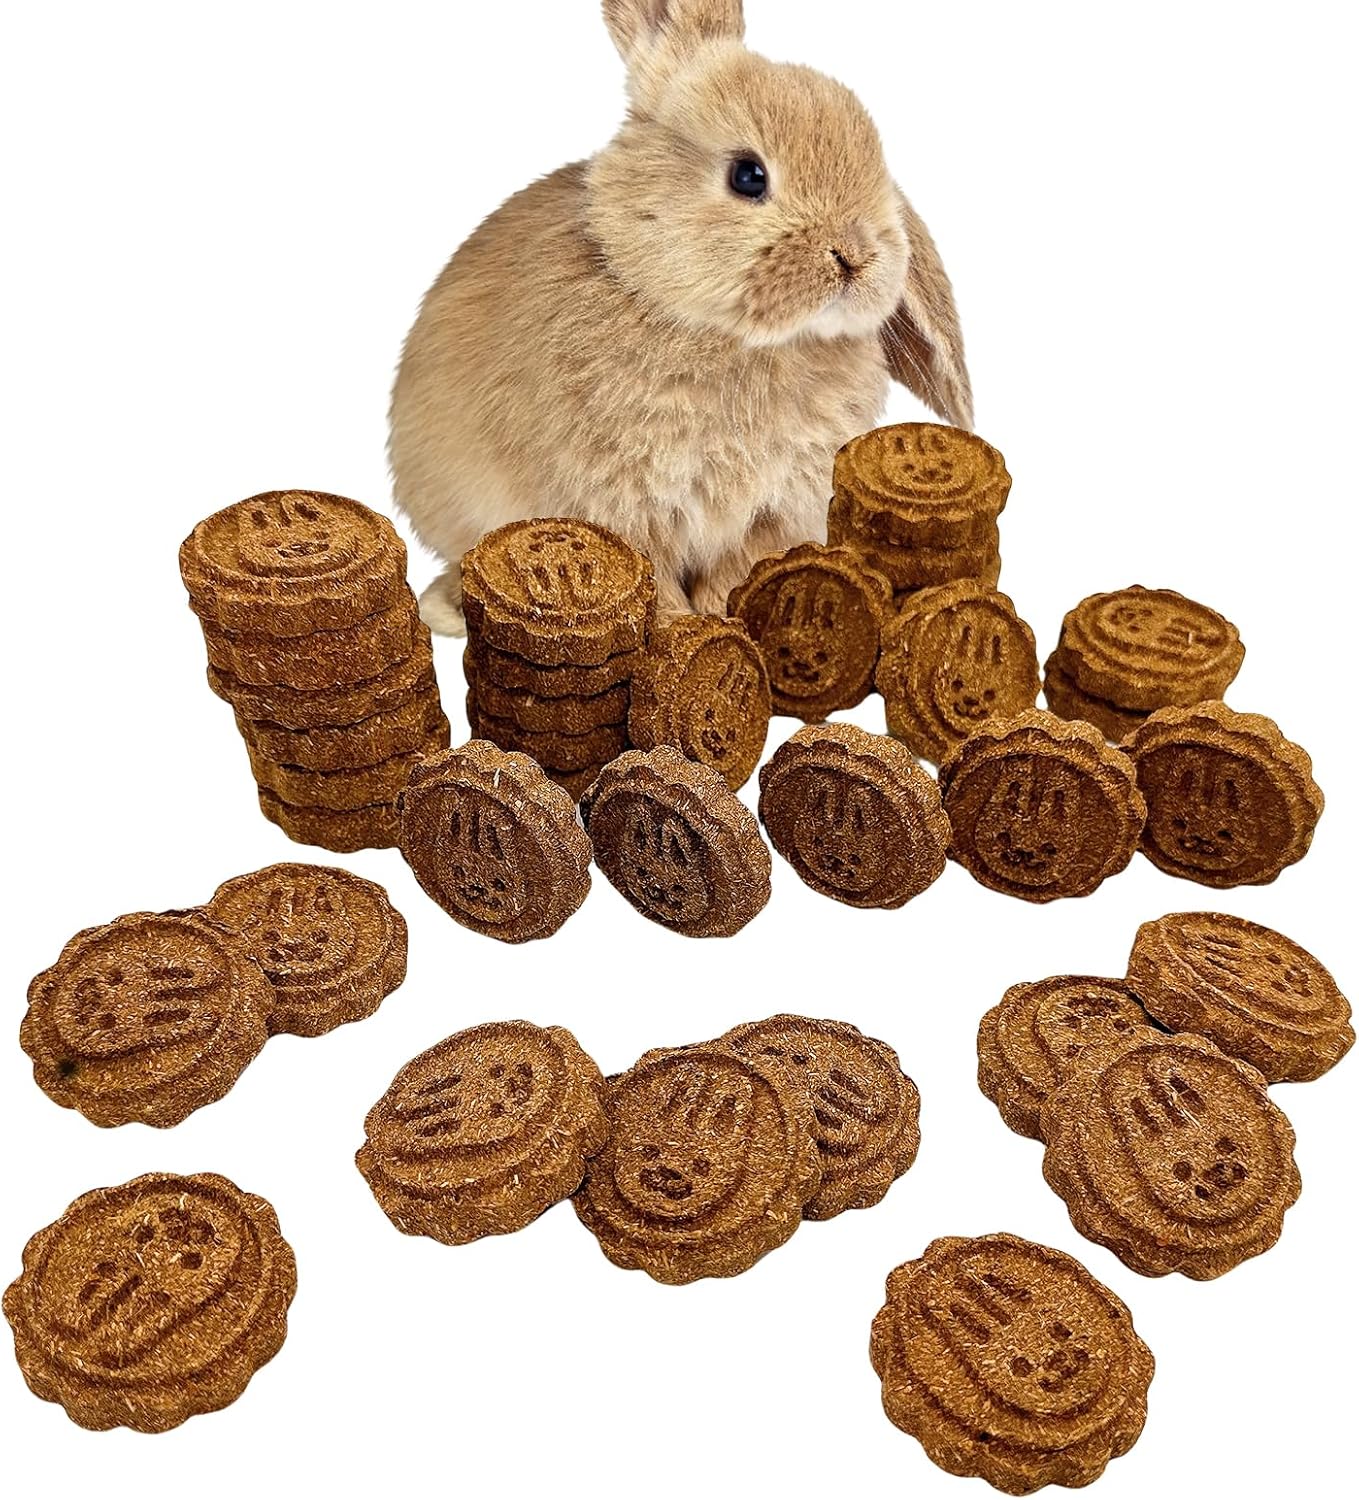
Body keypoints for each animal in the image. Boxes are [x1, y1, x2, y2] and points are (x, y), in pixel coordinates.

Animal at [389, 0, 973, 636]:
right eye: (748, 175)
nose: (856, 255)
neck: (739, 338)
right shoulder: (624, 506)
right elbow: (653, 581)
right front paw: (681, 635)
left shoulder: (768, 514)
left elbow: (733, 571)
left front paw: (733, 625)